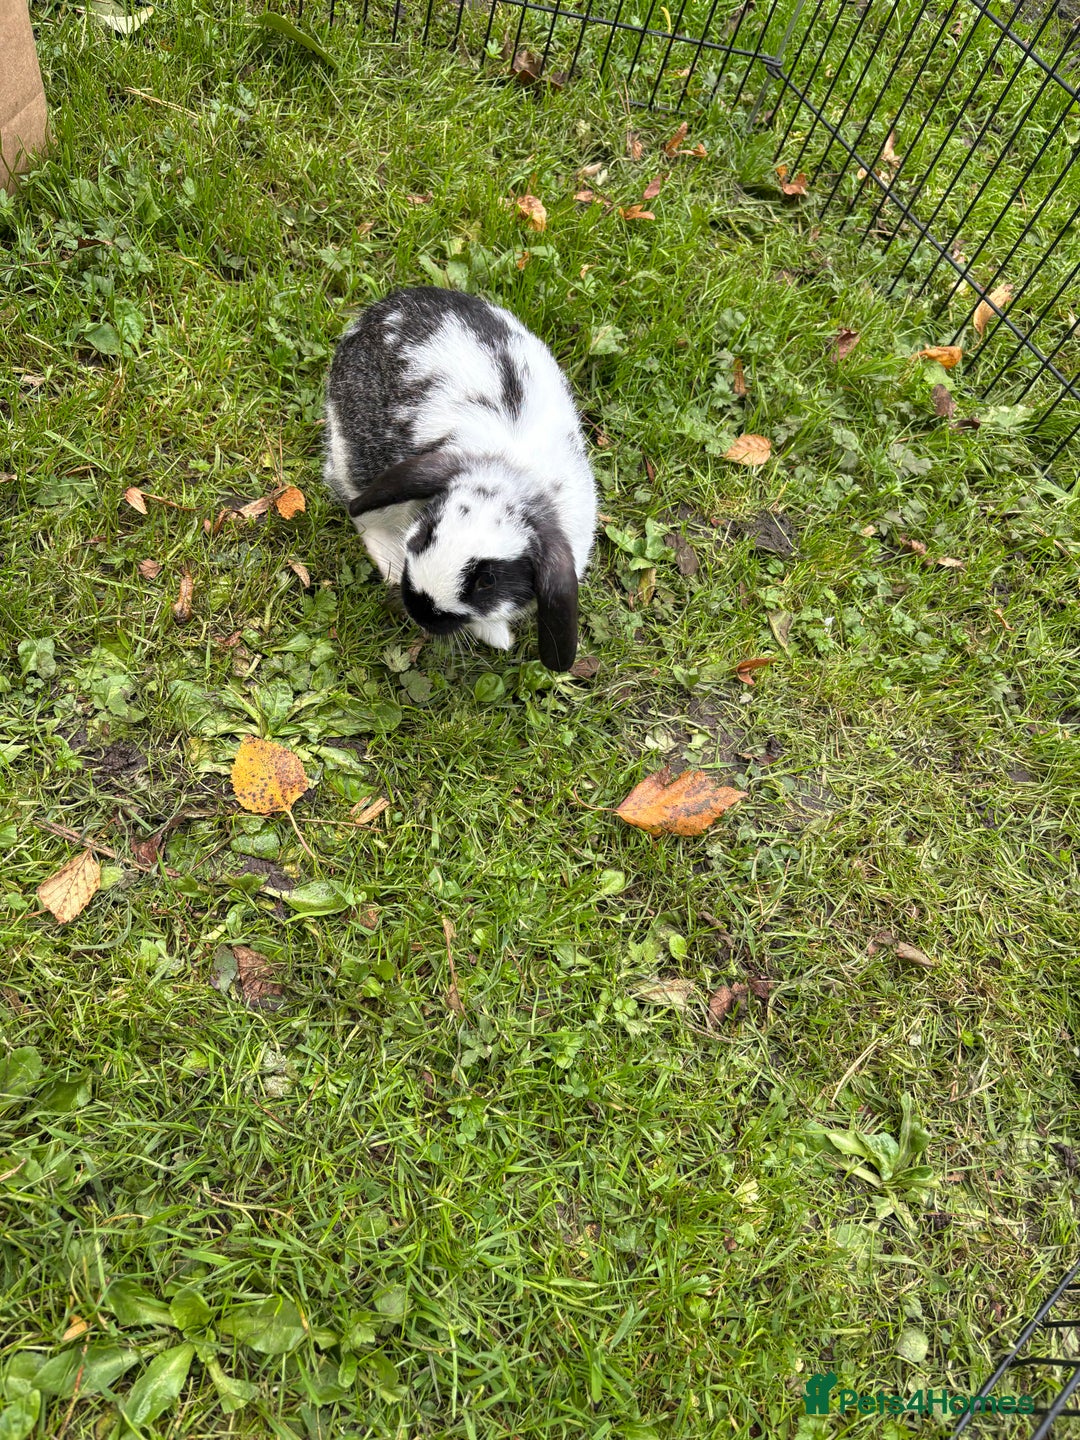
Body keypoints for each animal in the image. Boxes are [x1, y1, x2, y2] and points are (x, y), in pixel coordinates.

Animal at [323, 287, 597, 672]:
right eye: (426, 534)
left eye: (487, 581)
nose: (419, 610)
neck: (512, 477)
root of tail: (378, 311)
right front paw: (498, 638)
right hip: (357, 461)